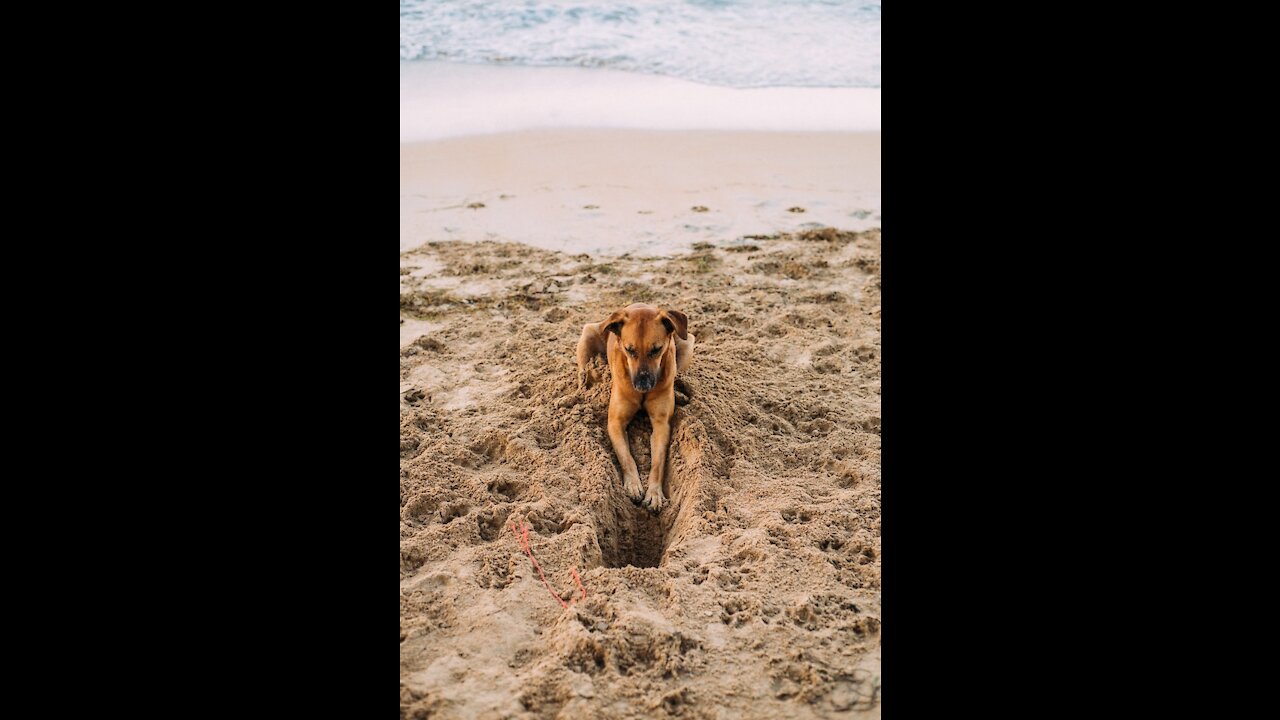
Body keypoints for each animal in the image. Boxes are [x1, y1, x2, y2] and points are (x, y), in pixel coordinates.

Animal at [578, 302, 696, 509]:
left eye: (656, 350)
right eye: (629, 350)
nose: (642, 384)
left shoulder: (661, 425)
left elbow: (657, 463)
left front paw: (654, 493)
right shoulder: (615, 423)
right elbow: (626, 457)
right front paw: (633, 484)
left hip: (687, 342)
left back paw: (680, 393)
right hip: (588, 335)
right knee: (582, 373)